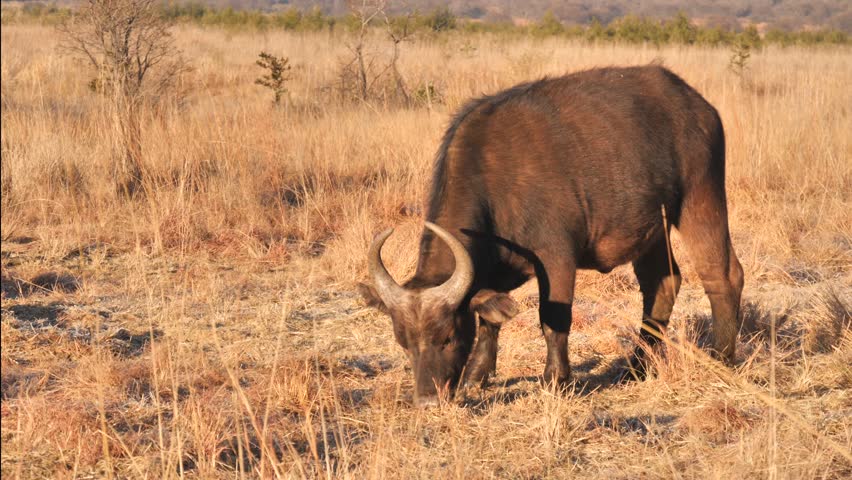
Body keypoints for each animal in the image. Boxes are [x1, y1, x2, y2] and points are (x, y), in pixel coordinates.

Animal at [359, 65, 744, 407]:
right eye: (403, 342)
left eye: (448, 337)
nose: (427, 400)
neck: (495, 182)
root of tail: (699, 105)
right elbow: (489, 319)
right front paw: (477, 375)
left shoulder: (556, 259)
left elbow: (553, 319)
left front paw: (555, 379)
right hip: (652, 229)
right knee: (662, 283)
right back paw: (637, 366)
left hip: (700, 197)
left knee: (722, 274)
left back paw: (721, 356)